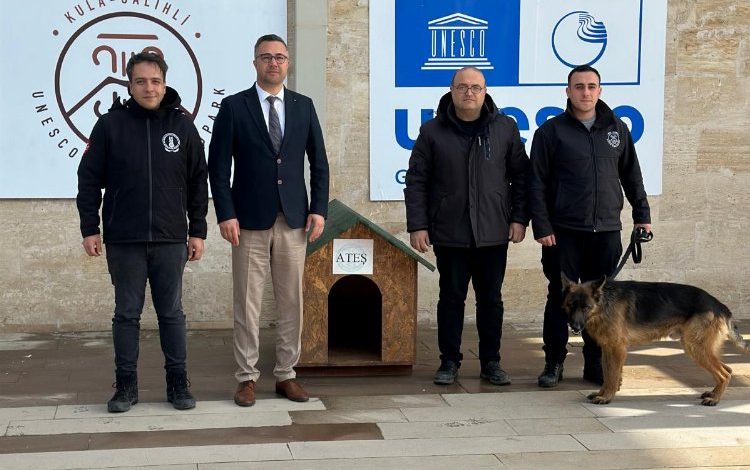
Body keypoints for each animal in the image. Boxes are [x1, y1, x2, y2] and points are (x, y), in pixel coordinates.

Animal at [561, 274, 749, 406]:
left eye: (586, 307)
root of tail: (719, 306)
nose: (575, 327)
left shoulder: (617, 348)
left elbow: (613, 375)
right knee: (728, 369)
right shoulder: (608, 349)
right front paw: (602, 393)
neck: (603, 304)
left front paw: (606, 397)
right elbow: (607, 374)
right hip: (700, 348)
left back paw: (715, 399)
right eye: (570, 305)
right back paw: (713, 393)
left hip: (695, 347)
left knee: (724, 373)